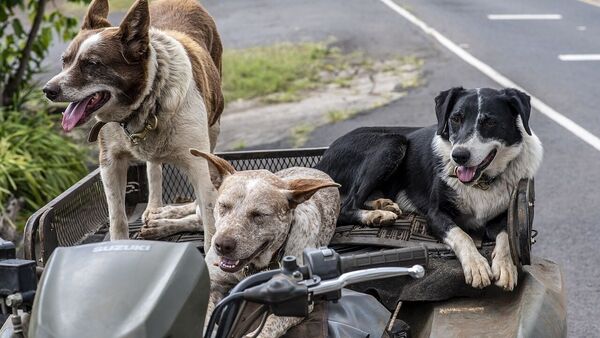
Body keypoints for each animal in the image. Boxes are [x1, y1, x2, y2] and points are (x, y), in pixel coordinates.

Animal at [42, 0, 224, 248]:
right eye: (65, 61)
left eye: (92, 64)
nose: (48, 90)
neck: (145, 103)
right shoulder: (110, 162)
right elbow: (117, 217)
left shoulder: (199, 165)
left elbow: (209, 221)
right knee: (153, 168)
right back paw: (155, 210)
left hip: (214, 126)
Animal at [191, 151, 342, 338]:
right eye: (223, 206)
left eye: (259, 214)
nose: (222, 245)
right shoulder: (212, 283)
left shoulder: (297, 300)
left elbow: (270, 326)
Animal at [318, 88, 544, 290]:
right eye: (455, 119)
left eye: (490, 122)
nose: (458, 156)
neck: (481, 182)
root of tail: (322, 160)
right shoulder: (435, 215)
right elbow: (462, 234)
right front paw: (476, 266)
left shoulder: (505, 215)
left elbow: (506, 236)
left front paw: (506, 267)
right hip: (392, 142)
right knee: (345, 206)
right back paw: (376, 216)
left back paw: (383, 205)